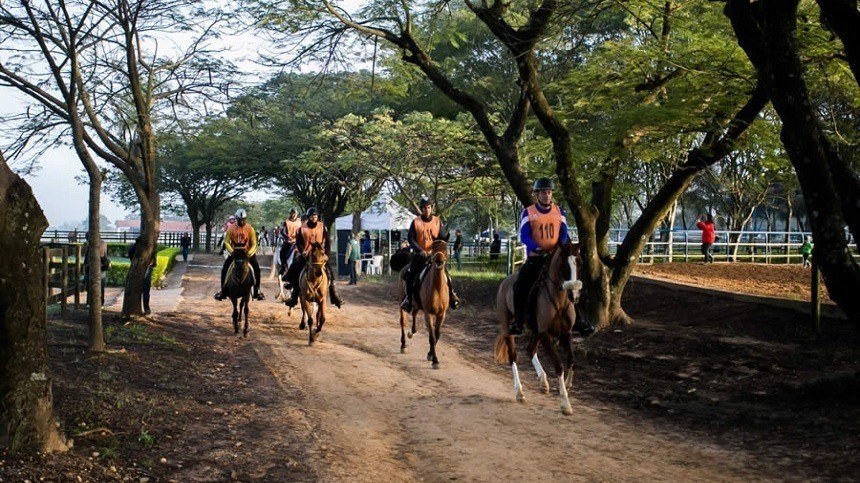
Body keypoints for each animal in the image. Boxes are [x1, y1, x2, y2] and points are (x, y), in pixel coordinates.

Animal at [396, 240, 450, 368]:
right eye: (434, 249)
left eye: (445, 248)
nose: (439, 260)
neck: (437, 288)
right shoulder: (428, 314)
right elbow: (432, 337)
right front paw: (435, 360)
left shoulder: (442, 314)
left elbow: (437, 335)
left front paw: (430, 354)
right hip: (402, 303)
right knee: (403, 322)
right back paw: (403, 345)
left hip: (417, 305)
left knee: (414, 315)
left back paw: (412, 332)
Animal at [490, 242, 584, 416]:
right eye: (563, 265)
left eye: (579, 263)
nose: (574, 296)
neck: (559, 302)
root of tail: (505, 282)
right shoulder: (545, 334)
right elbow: (559, 365)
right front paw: (565, 403)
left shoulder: (565, 334)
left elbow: (571, 360)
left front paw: (567, 385)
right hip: (508, 328)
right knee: (513, 356)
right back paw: (519, 392)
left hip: (535, 330)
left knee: (530, 349)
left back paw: (543, 381)